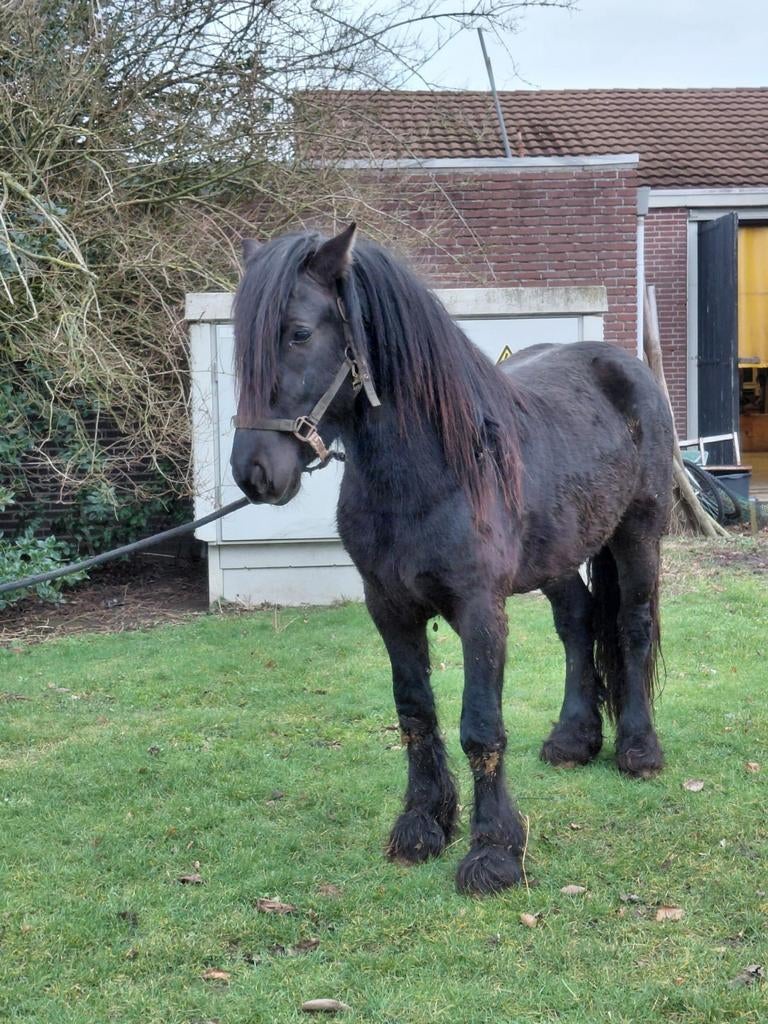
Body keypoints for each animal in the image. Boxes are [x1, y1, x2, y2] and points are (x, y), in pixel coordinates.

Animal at [230, 224, 673, 895]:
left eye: (300, 333)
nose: (253, 473)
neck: (433, 470)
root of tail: (624, 366)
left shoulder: (480, 610)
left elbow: (480, 725)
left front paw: (493, 853)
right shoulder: (389, 609)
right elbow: (415, 713)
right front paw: (422, 825)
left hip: (638, 533)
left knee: (632, 624)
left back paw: (639, 750)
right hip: (559, 555)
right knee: (577, 624)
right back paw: (573, 740)